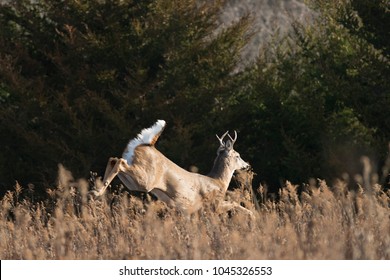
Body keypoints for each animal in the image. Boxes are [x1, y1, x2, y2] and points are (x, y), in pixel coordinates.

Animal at [91, 119, 254, 215]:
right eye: (237, 155)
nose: (247, 165)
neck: (218, 182)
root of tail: (147, 144)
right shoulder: (213, 204)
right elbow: (234, 203)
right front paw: (252, 216)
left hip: (133, 181)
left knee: (113, 159)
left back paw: (96, 190)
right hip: (145, 180)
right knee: (118, 161)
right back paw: (98, 191)